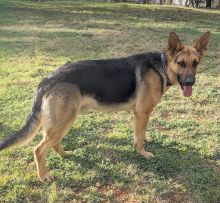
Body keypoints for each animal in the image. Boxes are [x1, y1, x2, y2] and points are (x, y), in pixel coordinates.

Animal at [0, 32, 210, 182]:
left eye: (195, 63)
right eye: (181, 63)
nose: (190, 82)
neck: (163, 66)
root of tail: (48, 79)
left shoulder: (141, 114)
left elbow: (141, 133)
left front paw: (145, 140)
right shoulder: (141, 113)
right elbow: (138, 138)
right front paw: (142, 152)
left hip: (62, 122)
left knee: (52, 143)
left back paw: (64, 154)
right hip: (63, 121)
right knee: (39, 149)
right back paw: (44, 176)